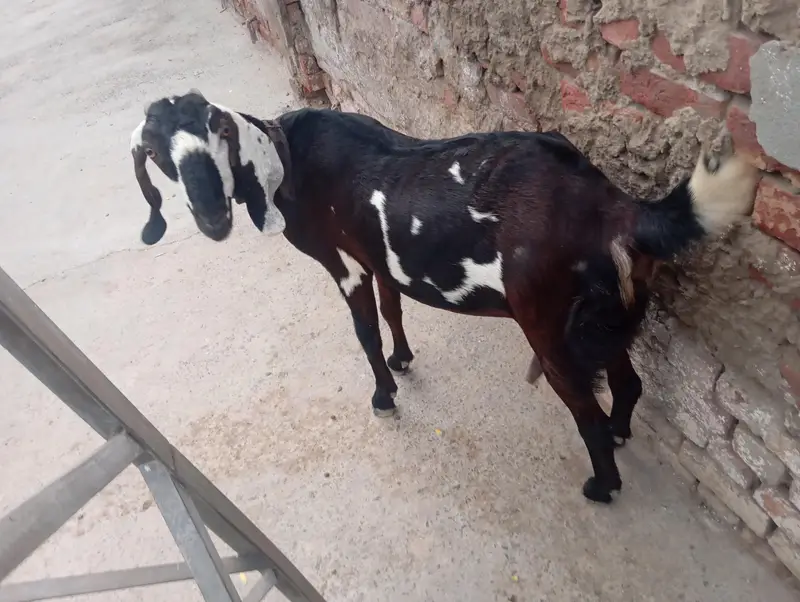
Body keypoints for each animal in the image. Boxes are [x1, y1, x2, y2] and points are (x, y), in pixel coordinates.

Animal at [130, 90, 760, 503]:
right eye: (158, 156)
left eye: (218, 135)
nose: (212, 219)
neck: (290, 157)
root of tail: (614, 206)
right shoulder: (379, 257)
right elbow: (392, 307)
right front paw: (404, 360)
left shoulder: (344, 265)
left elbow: (364, 331)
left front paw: (384, 394)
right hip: (604, 317)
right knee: (627, 383)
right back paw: (624, 434)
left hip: (547, 325)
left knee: (587, 413)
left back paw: (601, 487)